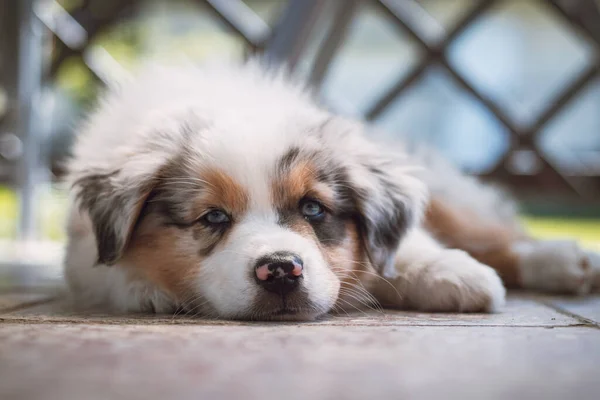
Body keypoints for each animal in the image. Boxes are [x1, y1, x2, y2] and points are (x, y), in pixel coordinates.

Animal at [62, 59, 600, 320]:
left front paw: (457, 275)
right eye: (213, 217)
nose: (281, 270)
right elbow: (105, 270)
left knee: (491, 232)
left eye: (314, 209)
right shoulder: (83, 248)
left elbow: (404, 248)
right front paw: (146, 287)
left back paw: (568, 262)